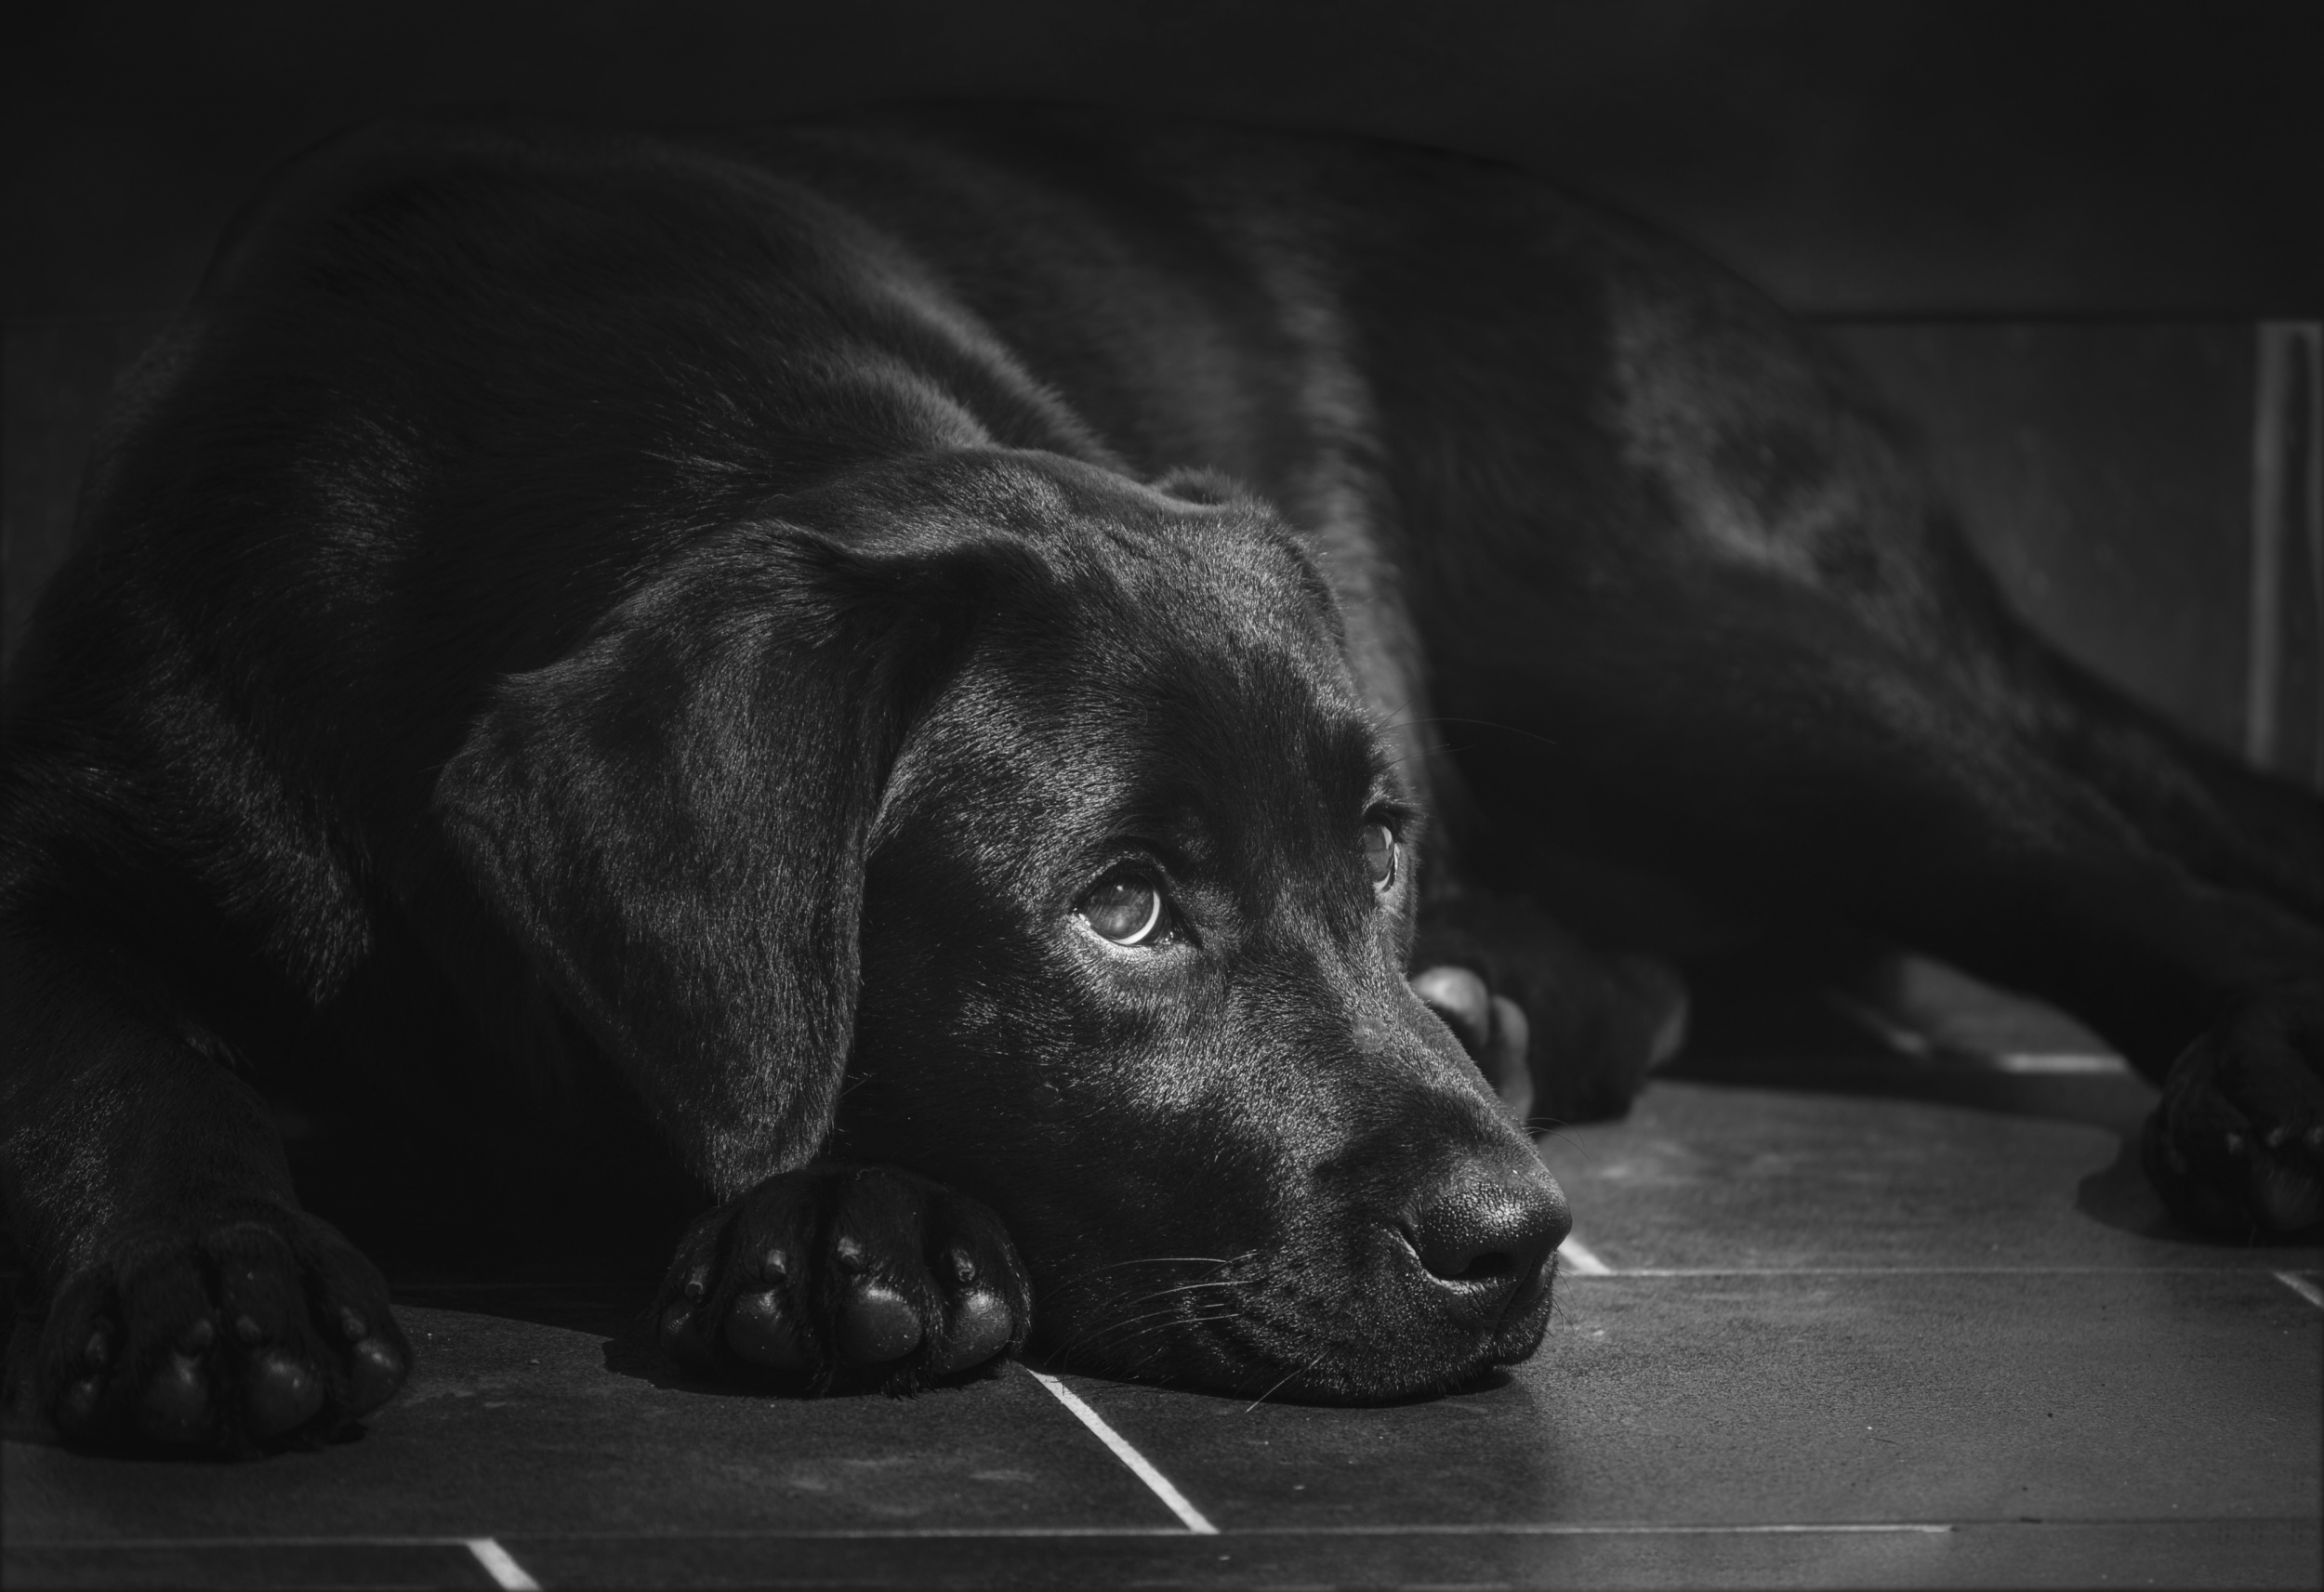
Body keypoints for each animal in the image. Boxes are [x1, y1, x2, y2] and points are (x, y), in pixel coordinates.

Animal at [4, 103, 2318, 1458]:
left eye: (1372, 848)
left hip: (1647, 627)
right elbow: (117, 1061)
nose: (1517, 1236)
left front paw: (834, 1228)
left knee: (2095, 859)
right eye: (1121, 903)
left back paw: (2258, 1082)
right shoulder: (77, 816)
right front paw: (220, 1274)